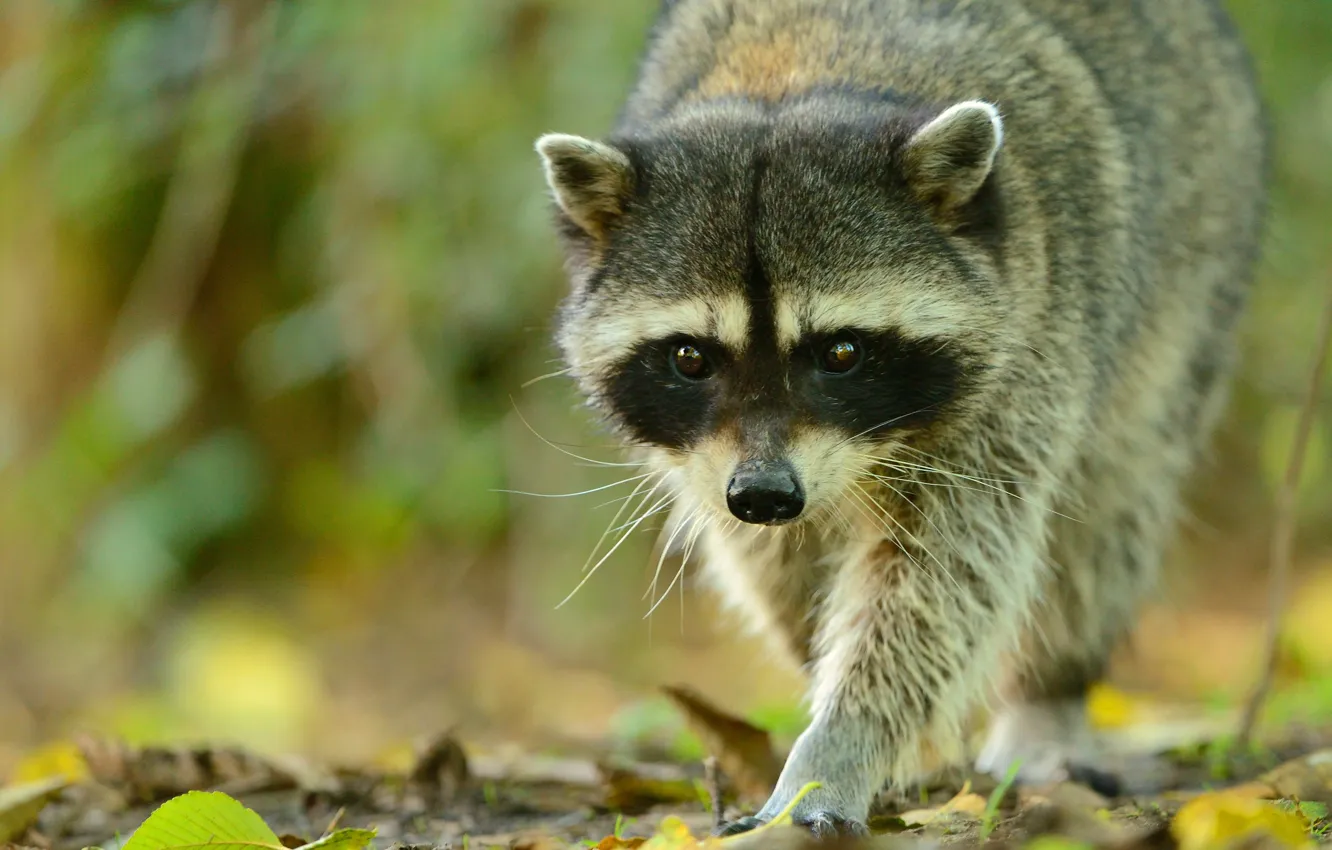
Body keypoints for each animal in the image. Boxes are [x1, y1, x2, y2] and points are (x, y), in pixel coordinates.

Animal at [534, 0, 1266, 836]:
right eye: (690, 358)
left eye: (842, 352)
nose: (766, 495)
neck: (796, 80)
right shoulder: (713, 461)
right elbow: (778, 566)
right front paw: (851, 707)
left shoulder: (1022, 357)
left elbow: (944, 570)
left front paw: (841, 745)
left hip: (1196, 264)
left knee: (1108, 510)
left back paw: (1049, 693)